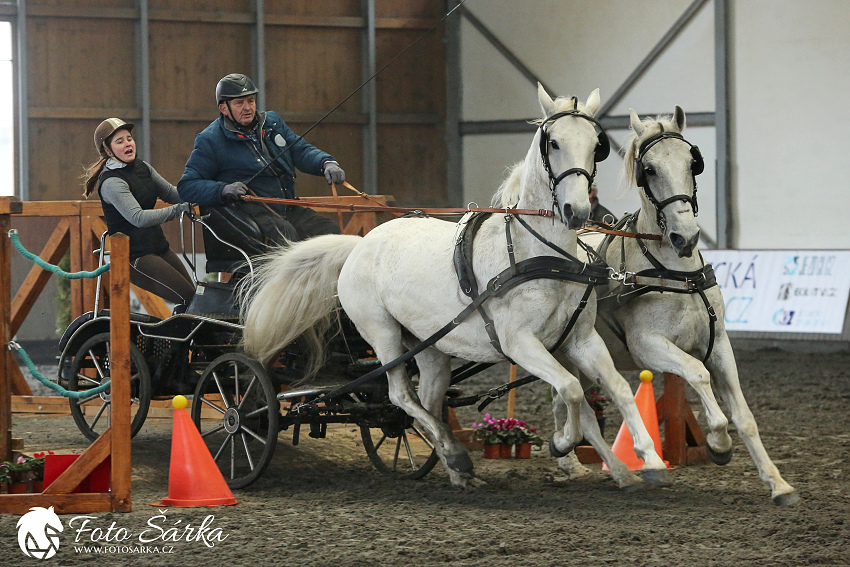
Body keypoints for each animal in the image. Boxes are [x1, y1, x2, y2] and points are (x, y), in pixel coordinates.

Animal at [243, 86, 668, 490]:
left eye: (597, 145)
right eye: (554, 143)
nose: (577, 212)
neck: (541, 255)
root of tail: (358, 245)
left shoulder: (581, 339)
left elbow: (618, 387)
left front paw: (647, 462)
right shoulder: (519, 343)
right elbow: (572, 389)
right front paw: (562, 443)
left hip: (428, 346)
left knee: (427, 402)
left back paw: (456, 465)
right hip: (382, 333)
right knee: (400, 395)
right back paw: (455, 456)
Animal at [556, 108, 796, 508]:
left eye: (692, 162)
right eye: (649, 169)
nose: (687, 237)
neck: (676, 273)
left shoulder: (719, 343)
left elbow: (744, 414)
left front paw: (778, 484)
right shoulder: (648, 347)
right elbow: (698, 375)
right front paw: (718, 442)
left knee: (571, 402)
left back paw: (579, 461)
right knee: (577, 406)